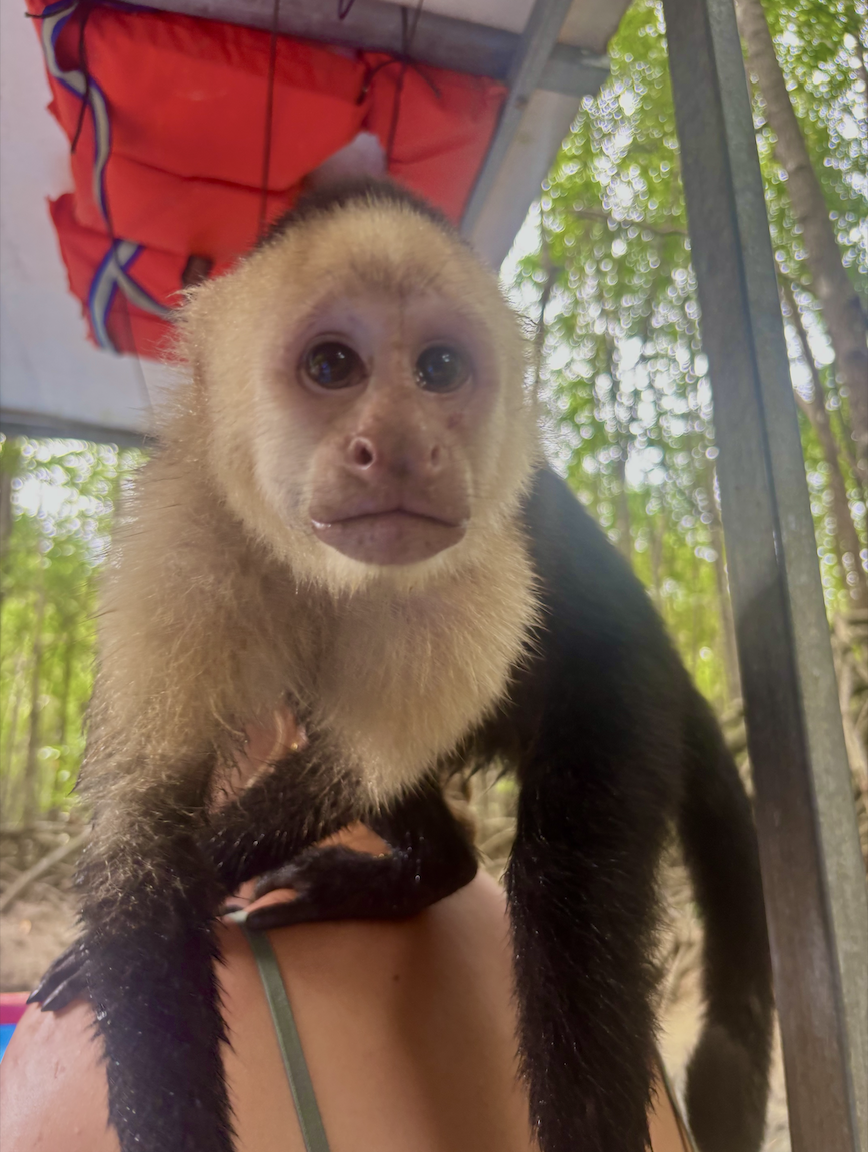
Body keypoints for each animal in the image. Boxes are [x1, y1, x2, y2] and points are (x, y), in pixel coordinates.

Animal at [32, 179, 773, 1152]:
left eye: (440, 369)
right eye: (332, 366)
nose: (401, 445)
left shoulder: (483, 576)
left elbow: (362, 764)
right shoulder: (183, 536)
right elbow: (141, 844)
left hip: (627, 684)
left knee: (566, 882)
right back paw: (434, 869)